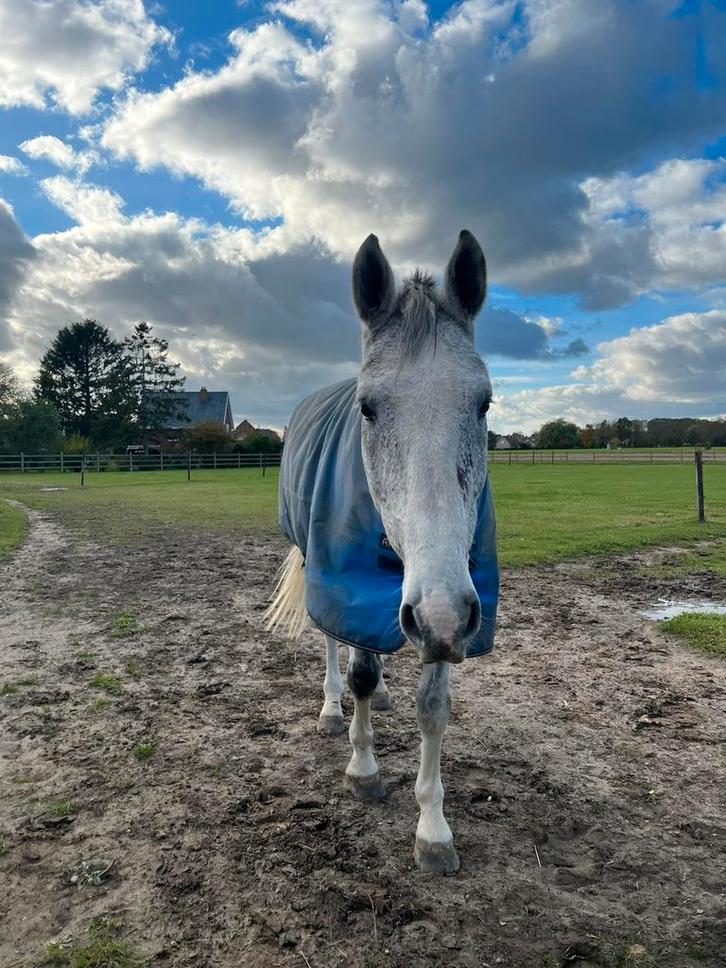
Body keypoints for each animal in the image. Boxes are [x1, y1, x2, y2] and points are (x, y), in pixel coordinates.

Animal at [266, 230, 498, 875]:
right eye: (368, 408)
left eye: (484, 404)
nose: (441, 614)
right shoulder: (357, 584)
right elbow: (362, 673)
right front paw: (363, 769)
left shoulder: (447, 598)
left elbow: (434, 704)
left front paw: (434, 829)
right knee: (331, 643)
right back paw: (331, 708)